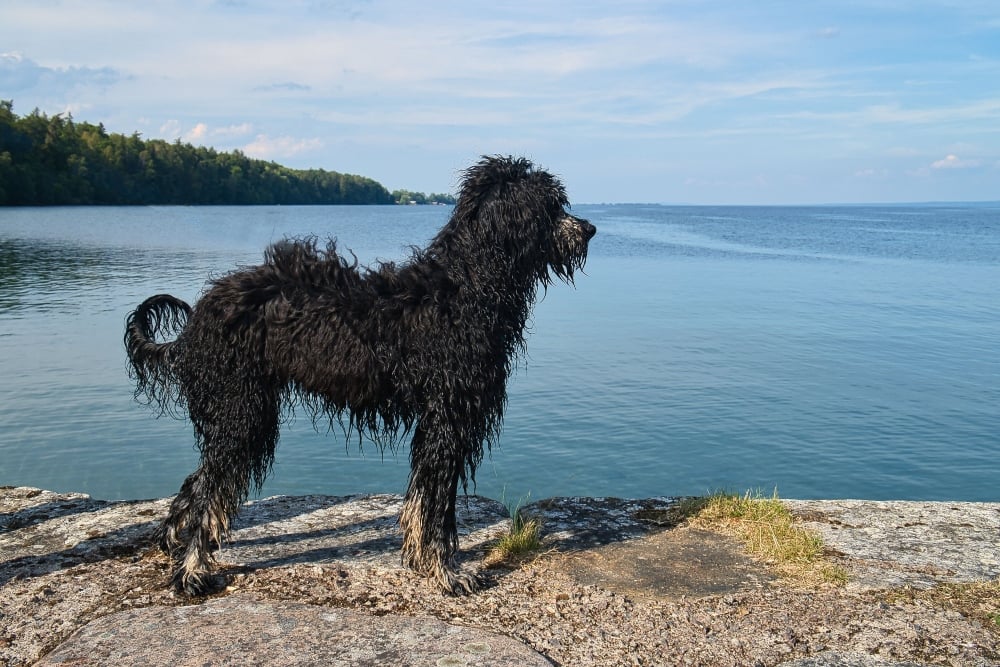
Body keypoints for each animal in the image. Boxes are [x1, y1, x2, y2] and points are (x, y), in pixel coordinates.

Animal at [124, 155, 592, 596]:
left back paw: (170, 539)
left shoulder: (436, 422)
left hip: (238, 411)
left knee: (199, 480)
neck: (465, 290)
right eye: (550, 206)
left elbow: (420, 499)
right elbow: (437, 507)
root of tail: (197, 320)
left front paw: (419, 560)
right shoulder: (449, 417)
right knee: (210, 492)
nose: (589, 228)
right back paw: (191, 570)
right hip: (243, 410)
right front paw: (446, 572)